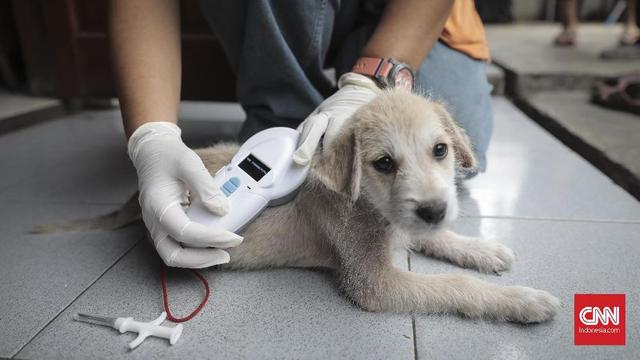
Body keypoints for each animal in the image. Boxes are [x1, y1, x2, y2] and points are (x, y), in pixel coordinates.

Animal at [196, 90, 560, 324]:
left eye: (440, 150)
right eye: (384, 163)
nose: (435, 211)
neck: (365, 202)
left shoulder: (405, 222)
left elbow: (437, 236)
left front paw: (482, 249)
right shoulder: (373, 281)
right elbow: (455, 284)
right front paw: (522, 300)